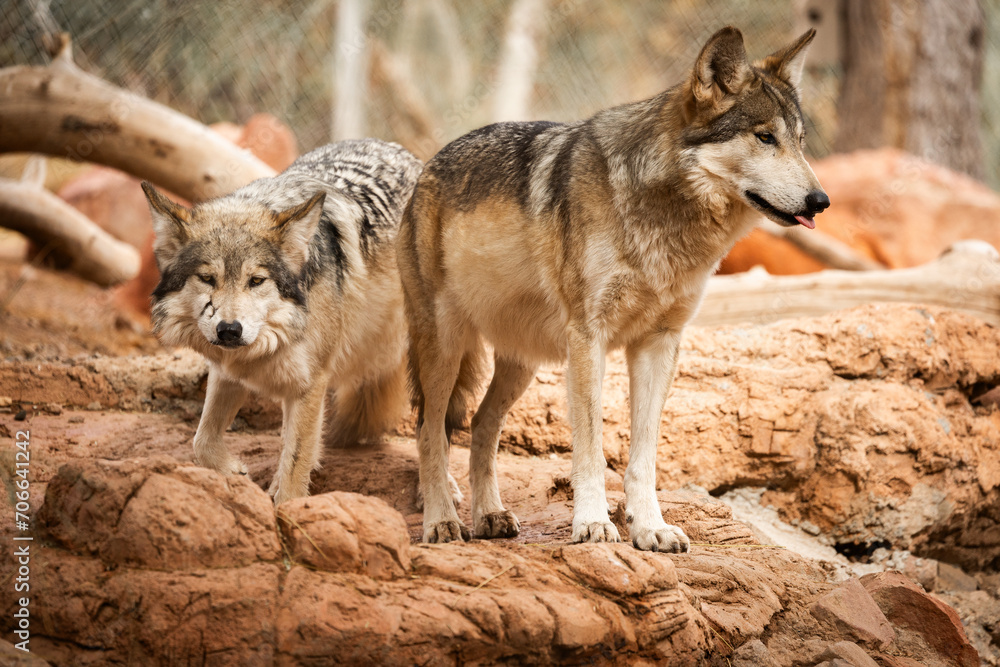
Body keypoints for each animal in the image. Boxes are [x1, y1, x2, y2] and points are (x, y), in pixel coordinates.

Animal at [142, 142, 422, 506]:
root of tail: (406, 152)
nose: (229, 330)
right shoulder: (227, 372)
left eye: (256, 280)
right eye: (207, 278)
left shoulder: (310, 385)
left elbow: (295, 468)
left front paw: (289, 510)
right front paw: (235, 472)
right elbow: (201, 440)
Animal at [396, 26, 828, 552]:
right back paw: (442, 521)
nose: (821, 200)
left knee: (481, 424)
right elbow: (592, 449)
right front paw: (593, 524)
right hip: (445, 349)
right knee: (429, 429)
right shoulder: (589, 338)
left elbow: (643, 456)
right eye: (765, 137)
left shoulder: (659, 344)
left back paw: (490, 516)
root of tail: (428, 164)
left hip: (523, 361)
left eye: (800, 142)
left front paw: (651, 527)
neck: (665, 219)